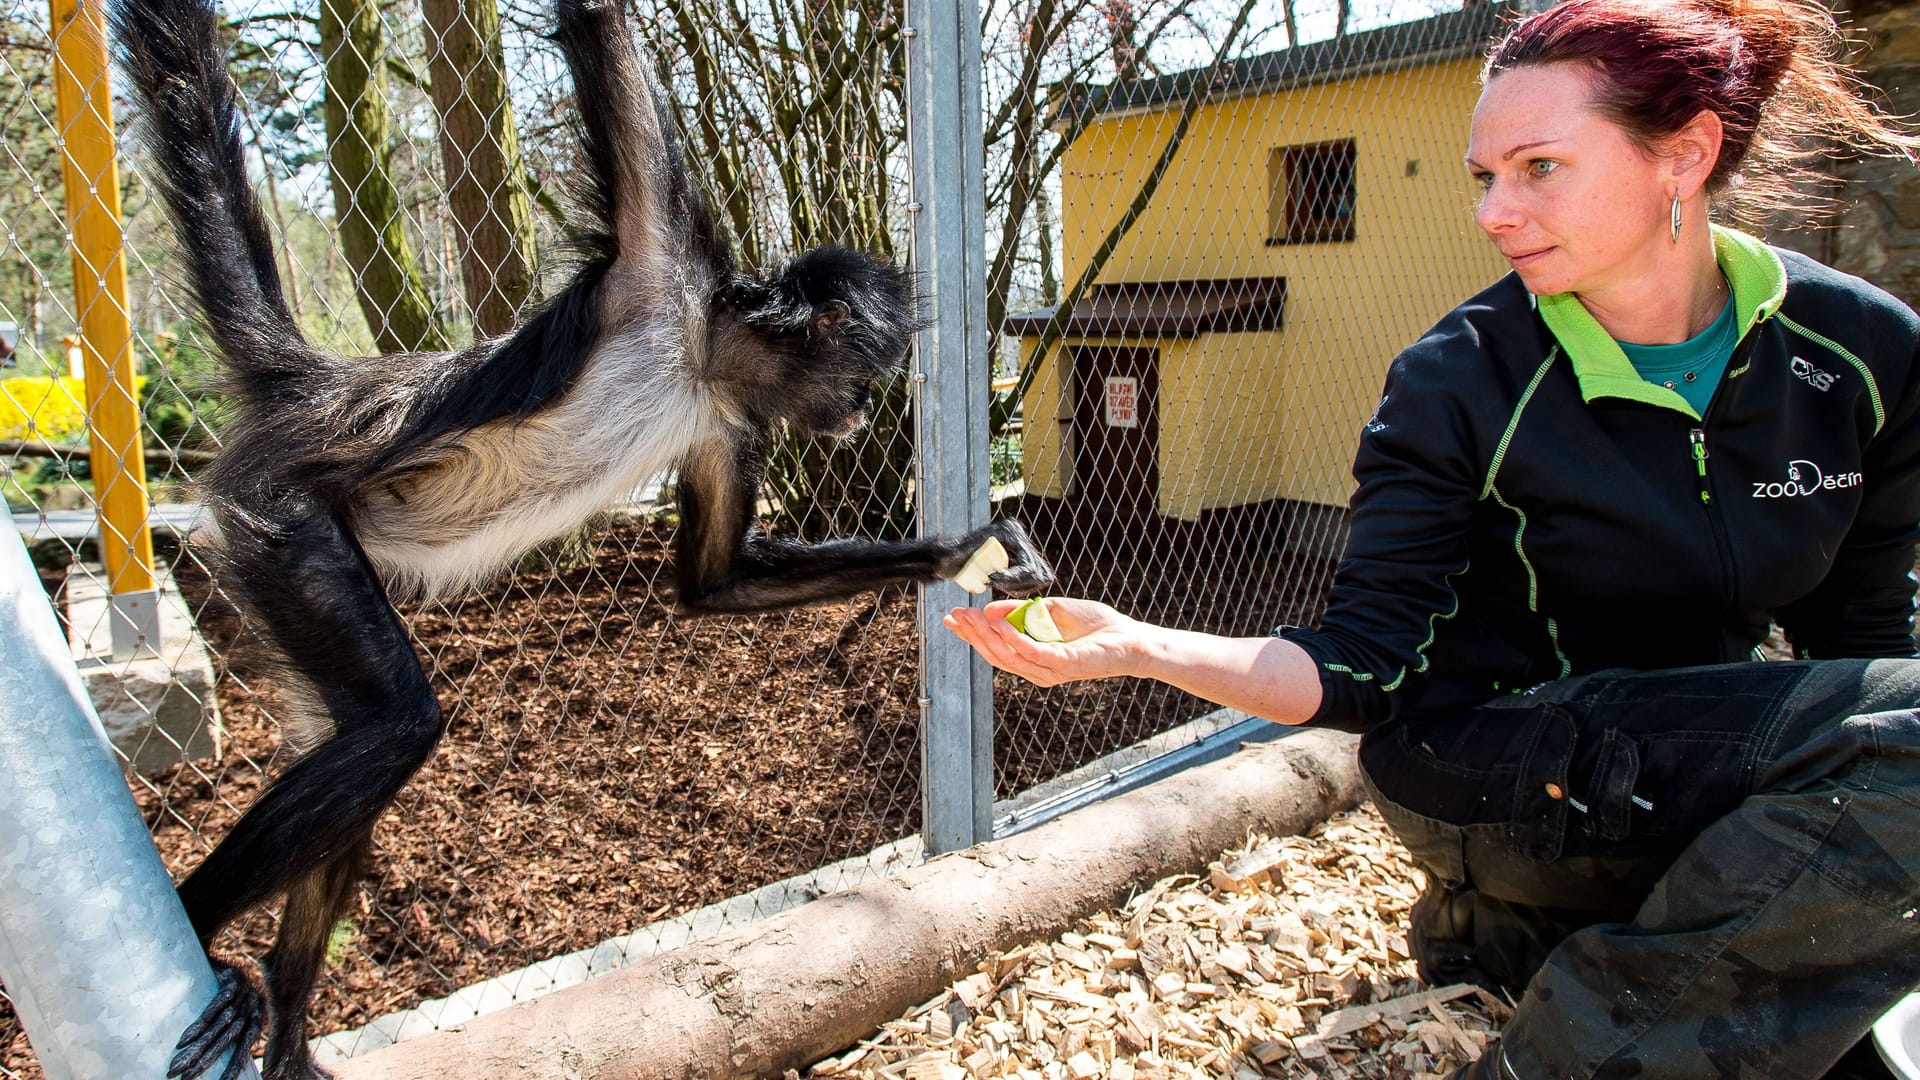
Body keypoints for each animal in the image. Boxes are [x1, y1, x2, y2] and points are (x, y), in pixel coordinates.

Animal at [105, 0, 1052, 1068]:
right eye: (866, 375)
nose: (858, 416)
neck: (697, 356)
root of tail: (320, 393)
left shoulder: (730, 422)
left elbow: (713, 586)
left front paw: (960, 552)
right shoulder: (658, 249)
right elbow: (596, 28)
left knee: (350, 739)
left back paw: (289, 1020)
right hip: (283, 520)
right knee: (393, 727)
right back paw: (205, 935)